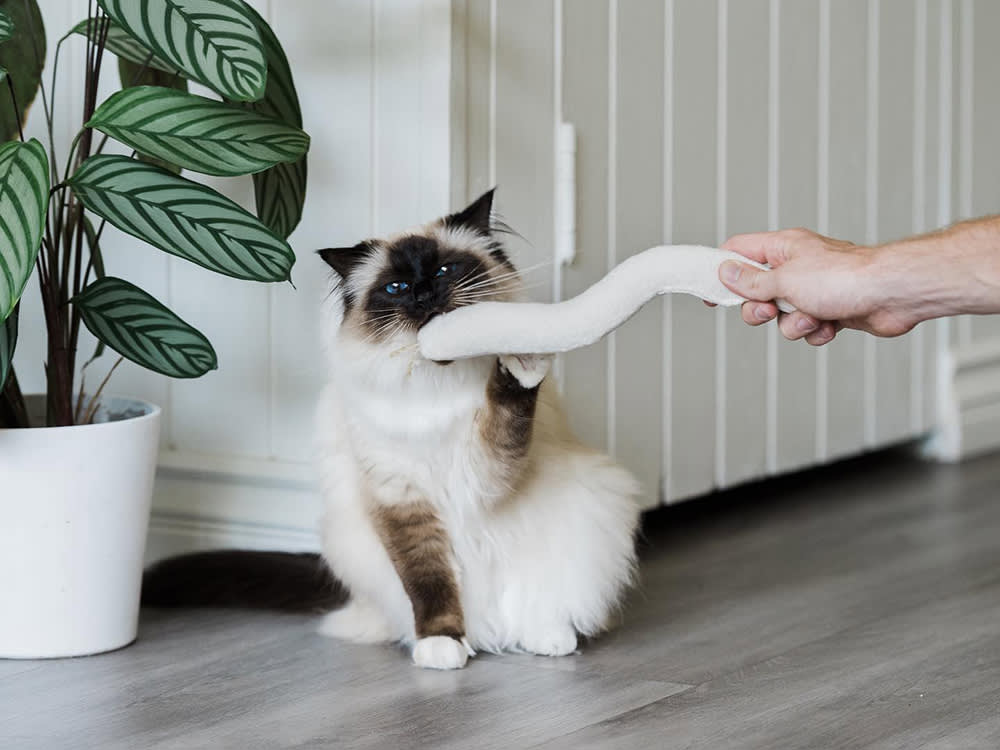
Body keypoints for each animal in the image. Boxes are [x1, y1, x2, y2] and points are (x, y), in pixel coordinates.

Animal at [314, 191, 640, 672]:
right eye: (396, 288)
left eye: (445, 270)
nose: (425, 294)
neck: (437, 388)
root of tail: (492, 635)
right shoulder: (402, 499)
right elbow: (428, 583)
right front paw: (442, 645)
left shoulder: (485, 476)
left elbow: (507, 413)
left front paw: (522, 359)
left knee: (533, 608)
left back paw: (547, 637)